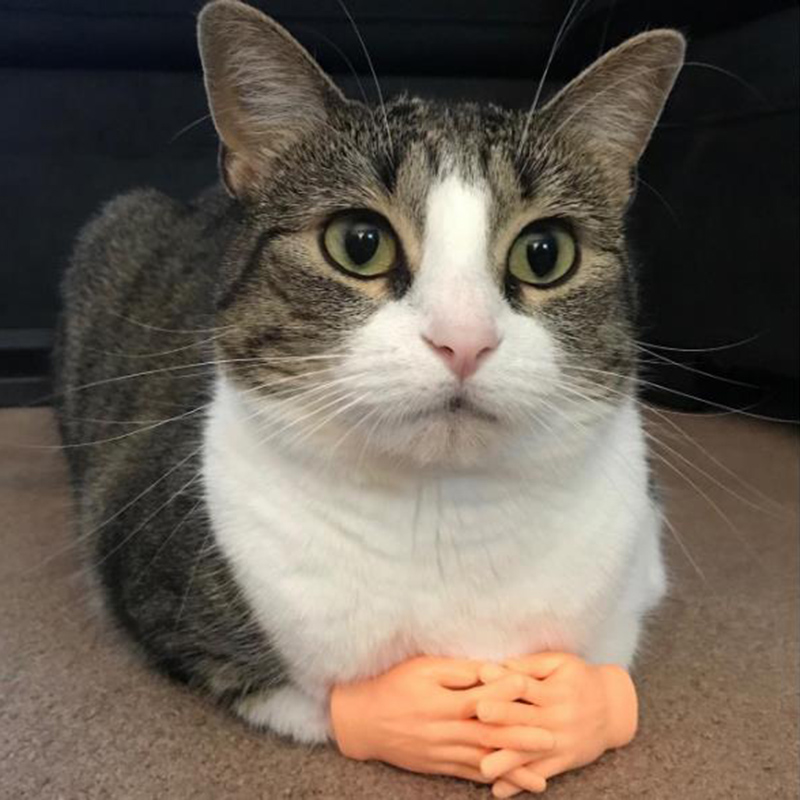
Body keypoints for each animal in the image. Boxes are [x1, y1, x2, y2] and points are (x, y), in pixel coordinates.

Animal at [55, 0, 684, 745]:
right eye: (359, 243)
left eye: (544, 253)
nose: (463, 341)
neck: (442, 516)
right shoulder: (151, 571)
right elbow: (305, 695)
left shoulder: (638, 571)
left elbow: (612, 650)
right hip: (113, 226)